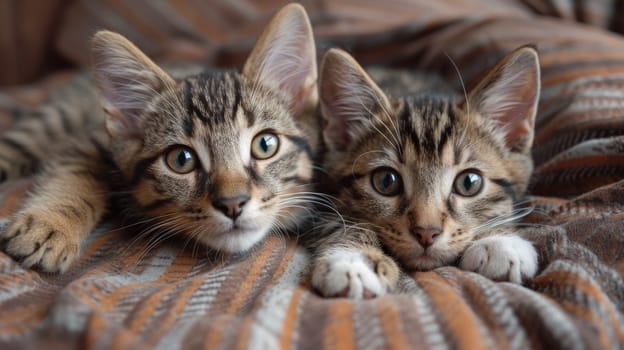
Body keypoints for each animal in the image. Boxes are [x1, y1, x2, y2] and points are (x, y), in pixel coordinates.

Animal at [0, 3, 320, 274]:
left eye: (265, 145)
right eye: (181, 159)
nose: (232, 204)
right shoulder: (89, 140)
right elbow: (76, 173)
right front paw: (50, 225)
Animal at [312, 46, 540, 298]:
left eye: (469, 183)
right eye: (386, 181)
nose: (426, 233)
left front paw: (500, 241)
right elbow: (341, 221)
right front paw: (354, 260)